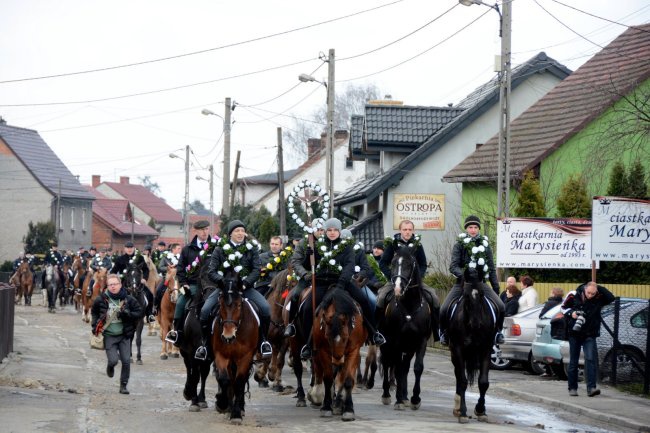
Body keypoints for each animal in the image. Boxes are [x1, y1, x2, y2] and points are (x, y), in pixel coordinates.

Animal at [214, 266, 260, 422]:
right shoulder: (221, 354)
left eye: (239, 305)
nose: (228, 334)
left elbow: (240, 381)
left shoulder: (246, 356)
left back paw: (239, 407)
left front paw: (236, 414)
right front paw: (222, 404)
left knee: (241, 380)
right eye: (220, 303)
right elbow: (224, 379)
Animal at [308, 288, 368, 420]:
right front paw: (326, 407)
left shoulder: (353, 350)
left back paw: (339, 404)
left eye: (345, 338)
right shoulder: (323, 351)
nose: (337, 359)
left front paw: (348, 409)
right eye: (327, 337)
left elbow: (348, 380)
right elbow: (328, 379)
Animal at [374, 248, 430, 410]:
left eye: (409, 264)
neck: (410, 306)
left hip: (409, 346)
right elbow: (397, 368)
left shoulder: (421, 341)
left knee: (405, 367)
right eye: (392, 263)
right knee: (387, 363)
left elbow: (417, 368)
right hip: (386, 343)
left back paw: (404, 397)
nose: (398, 288)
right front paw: (398, 400)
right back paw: (387, 395)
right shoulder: (396, 341)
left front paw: (414, 399)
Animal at [448, 266, 494, 422]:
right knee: (458, 375)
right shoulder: (458, 349)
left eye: (481, 294)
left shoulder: (486, 349)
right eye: (466, 296)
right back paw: (457, 408)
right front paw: (462, 412)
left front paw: (481, 410)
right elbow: (463, 380)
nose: (475, 323)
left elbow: (483, 382)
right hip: (454, 353)